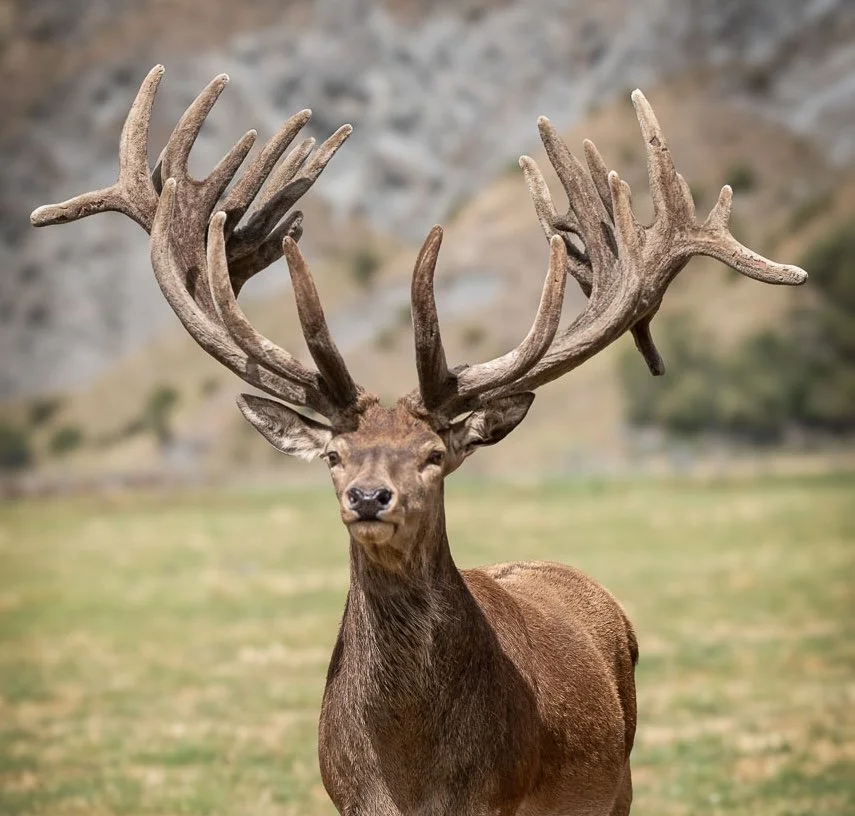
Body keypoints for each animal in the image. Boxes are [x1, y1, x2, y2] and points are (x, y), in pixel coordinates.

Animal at [32, 65, 806, 815]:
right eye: (335, 455)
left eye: (434, 457)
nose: (370, 497)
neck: (410, 773)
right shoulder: (346, 800)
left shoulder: (499, 799)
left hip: (619, 785)